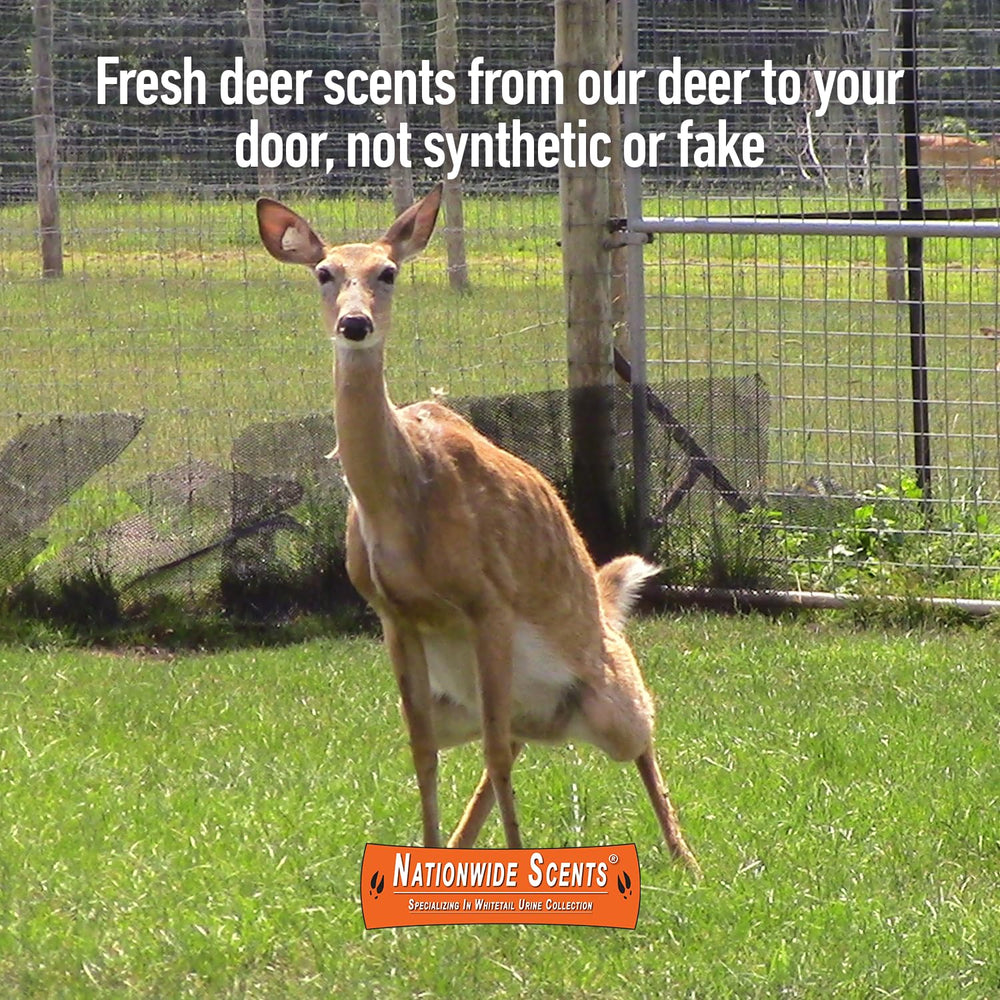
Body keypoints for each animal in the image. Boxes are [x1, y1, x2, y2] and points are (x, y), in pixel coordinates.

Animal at [256, 185, 700, 876]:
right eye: (324, 272)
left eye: (388, 272)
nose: (354, 324)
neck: (401, 503)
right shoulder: (392, 614)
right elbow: (421, 751)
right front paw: (428, 860)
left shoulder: (487, 598)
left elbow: (491, 748)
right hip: (472, 703)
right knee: (508, 739)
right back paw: (462, 848)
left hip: (606, 696)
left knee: (637, 731)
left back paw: (686, 857)